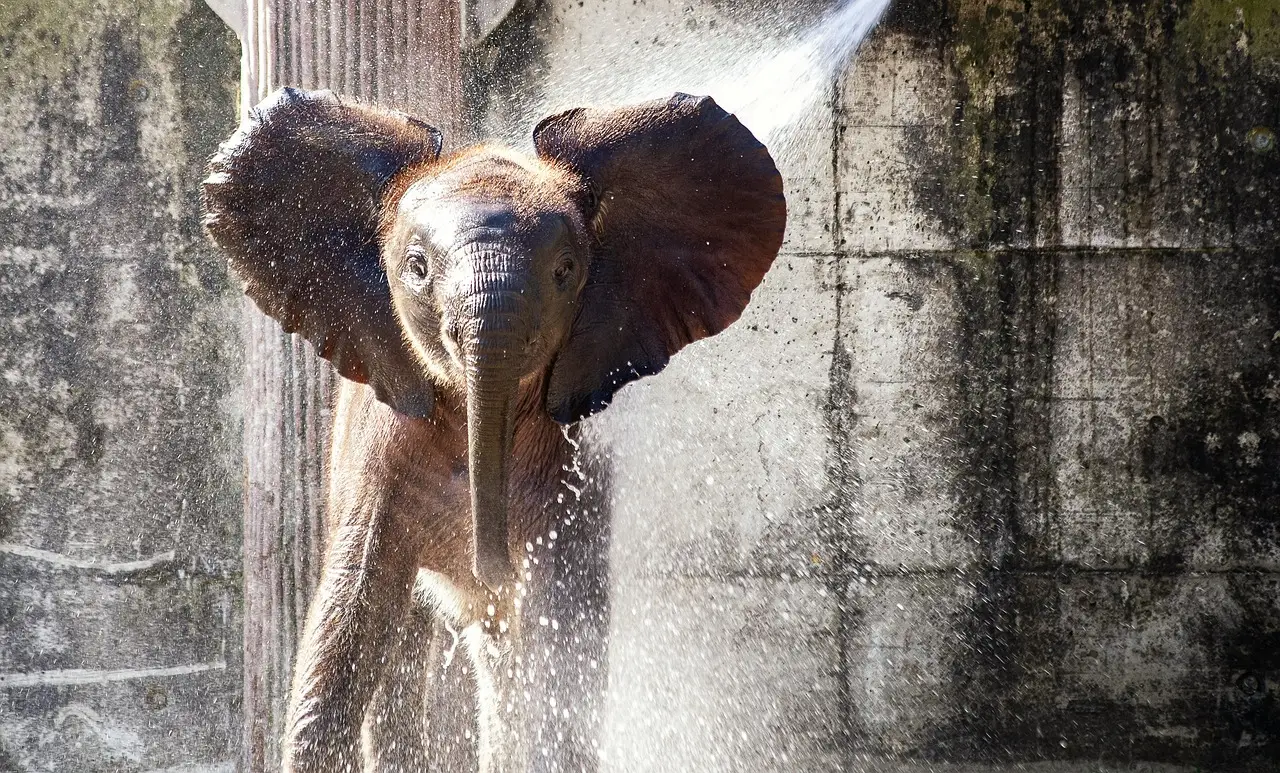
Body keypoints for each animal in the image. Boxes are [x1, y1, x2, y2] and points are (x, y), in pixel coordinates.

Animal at [201, 87, 786, 772]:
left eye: (565, 271)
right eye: (417, 268)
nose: (493, 567)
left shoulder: (569, 474)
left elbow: (557, 653)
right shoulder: (379, 455)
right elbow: (346, 628)